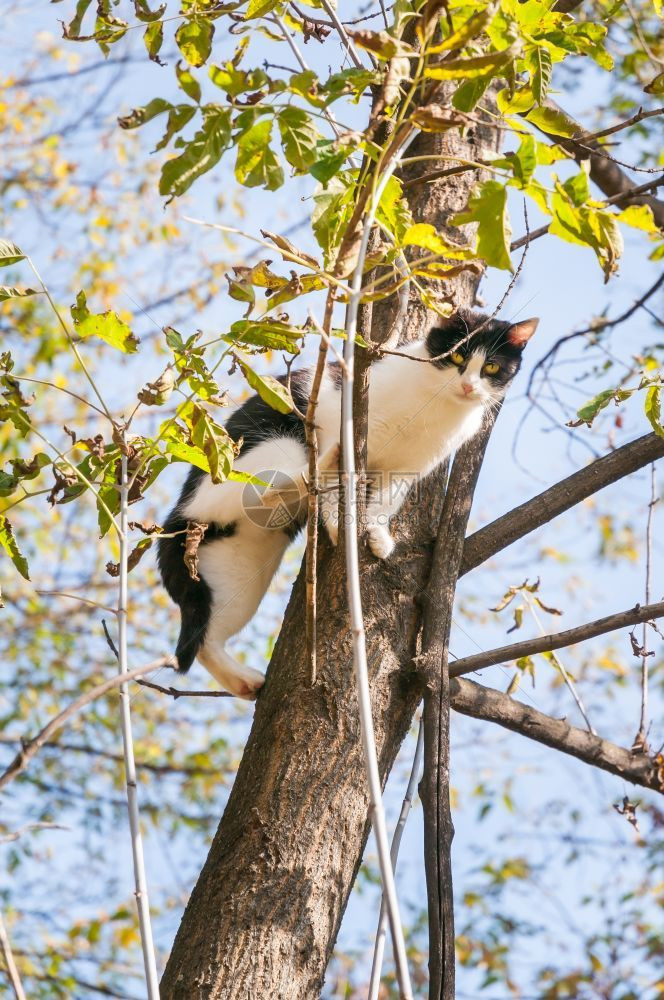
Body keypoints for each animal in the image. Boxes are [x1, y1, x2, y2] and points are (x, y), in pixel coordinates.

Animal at [158, 310, 536, 696]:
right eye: (458, 356)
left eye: (491, 367)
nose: (469, 386)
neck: (436, 405)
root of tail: (179, 513)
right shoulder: (336, 409)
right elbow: (334, 486)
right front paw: (341, 524)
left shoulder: (409, 469)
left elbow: (387, 501)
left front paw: (378, 535)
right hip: (272, 448)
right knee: (279, 483)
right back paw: (322, 465)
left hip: (241, 566)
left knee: (207, 640)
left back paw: (244, 681)